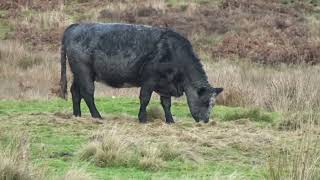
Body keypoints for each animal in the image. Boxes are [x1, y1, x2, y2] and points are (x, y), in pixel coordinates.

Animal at [59, 22, 222, 124]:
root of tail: (76, 26)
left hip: (78, 73)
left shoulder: (166, 84)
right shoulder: (149, 80)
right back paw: (97, 116)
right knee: (87, 93)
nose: (205, 120)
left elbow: (166, 103)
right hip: (84, 71)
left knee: (75, 91)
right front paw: (142, 119)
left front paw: (170, 121)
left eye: (213, 104)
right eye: (205, 102)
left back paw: (77, 115)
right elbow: (145, 99)